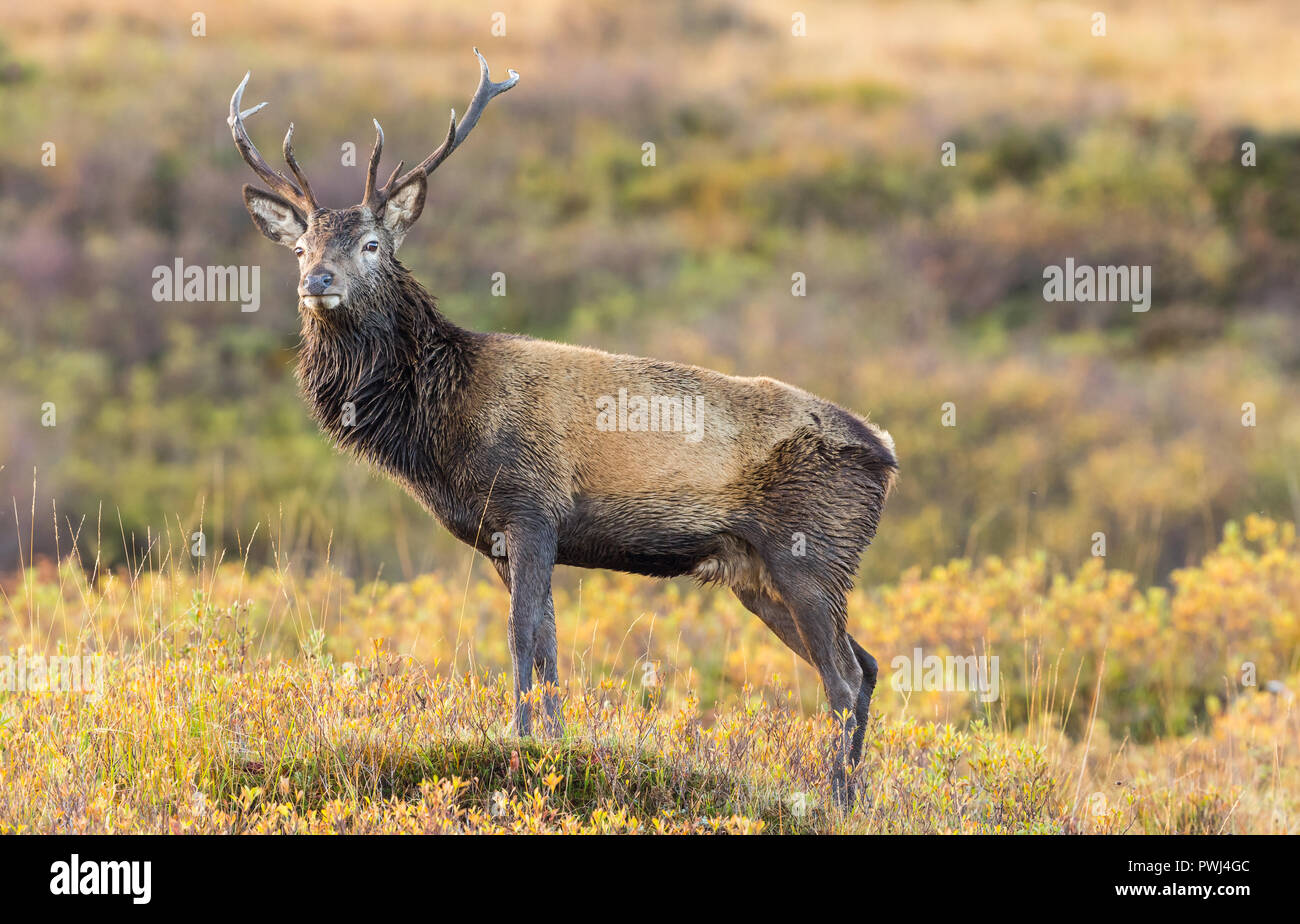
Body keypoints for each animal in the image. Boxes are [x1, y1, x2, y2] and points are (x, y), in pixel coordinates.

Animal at [228, 48, 897, 805]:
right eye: (301, 247)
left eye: (371, 244)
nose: (318, 280)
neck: (443, 429)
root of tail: (886, 454)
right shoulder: (502, 535)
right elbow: (546, 645)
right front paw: (550, 746)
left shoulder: (531, 507)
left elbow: (524, 639)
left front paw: (522, 746)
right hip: (759, 574)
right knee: (868, 663)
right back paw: (850, 792)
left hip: (810, 550)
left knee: (844, 676)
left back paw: (836, 796)